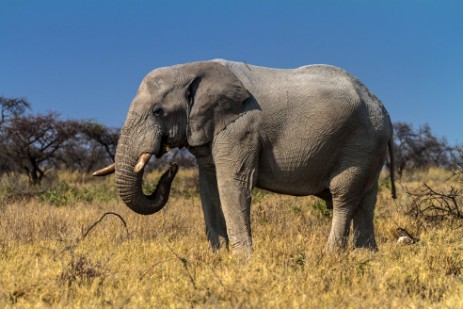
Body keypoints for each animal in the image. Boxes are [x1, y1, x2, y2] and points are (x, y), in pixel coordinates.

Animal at [93, 58, 396, 253]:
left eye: (158, 111)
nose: (172, 167)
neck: (191, 68)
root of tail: (382, 106)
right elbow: (208, 188)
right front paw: (218, 258)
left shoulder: (241, 127)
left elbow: (232, 184)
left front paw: (243, 261)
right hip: (369, 147)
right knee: (365, 201)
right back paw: (366, 256)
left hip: (361, 142)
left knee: (343, 196)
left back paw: (330, 256)